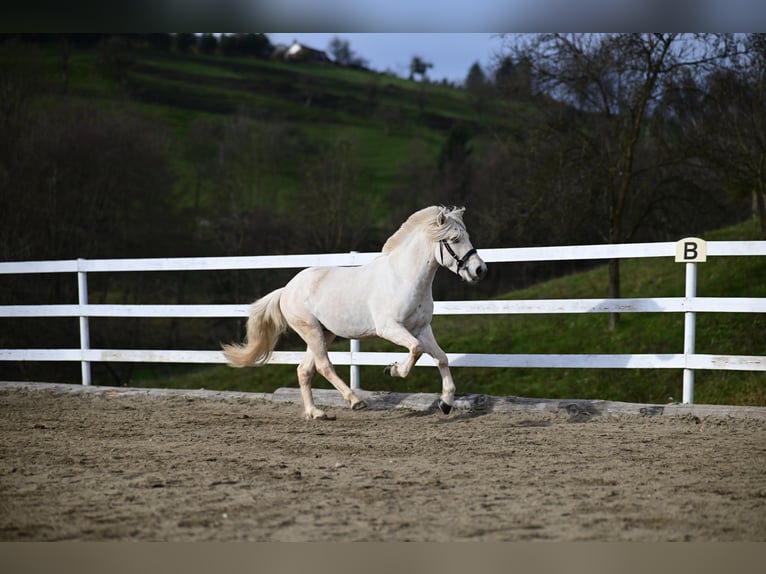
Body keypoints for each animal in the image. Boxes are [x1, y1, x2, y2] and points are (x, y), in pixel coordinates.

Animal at [222, 205, 486, 420]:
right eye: (454, 239)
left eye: (467, 236)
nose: (480, 270)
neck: (403, 278)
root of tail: (287, 289)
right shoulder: (390, 328)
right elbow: (416, 350)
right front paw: (392, 369)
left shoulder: (421, 328)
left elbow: (441, 357)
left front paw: (446, 403)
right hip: (311, 330)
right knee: (323, 366)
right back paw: (355, 401)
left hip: (323, 333)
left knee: (305, 370)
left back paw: (316, 413)